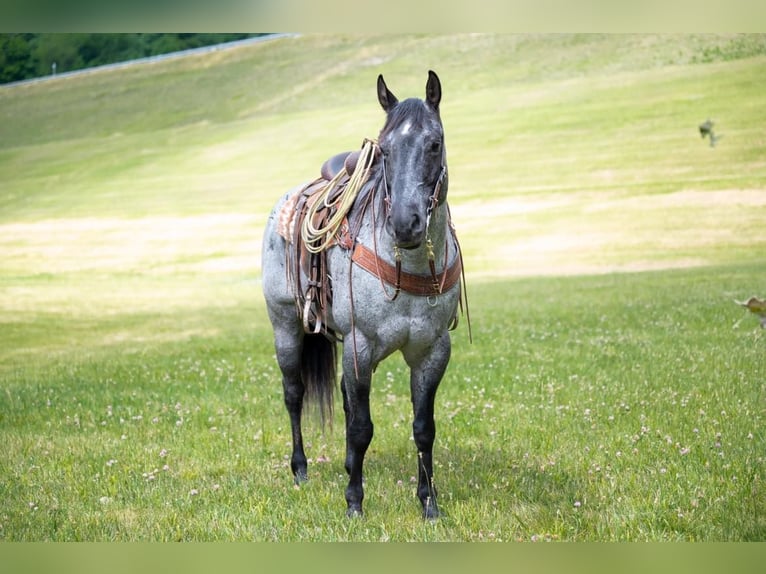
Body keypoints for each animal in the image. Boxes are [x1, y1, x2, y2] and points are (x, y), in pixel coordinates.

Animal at [262, 70, 468, 520]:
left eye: (434, 143)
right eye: (385, 150)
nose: (406, 225)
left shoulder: (432, 351)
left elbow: (423, 428)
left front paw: (429, 503)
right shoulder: (361, 346)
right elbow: (360, 426)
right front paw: (354, 502)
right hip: (286, 326)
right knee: (293, 395)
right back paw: (300, 469)